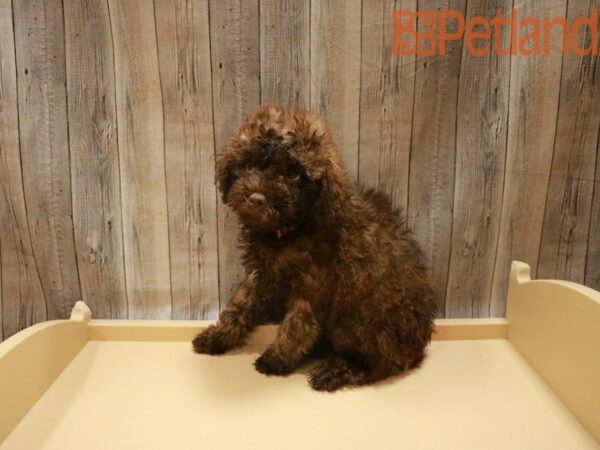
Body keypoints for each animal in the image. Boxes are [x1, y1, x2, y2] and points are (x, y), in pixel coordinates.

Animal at [193, 104, 436, 390]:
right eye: (249, 164)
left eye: (293, 173)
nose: (257, 199)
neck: (288, 231)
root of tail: (419, 345)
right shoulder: (260, 275)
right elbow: (238, 305)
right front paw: (218, 336)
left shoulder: (314, 286)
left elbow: (297, 325)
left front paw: (276, 358)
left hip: (359, 321)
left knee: (382, 363)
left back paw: (337, 371)